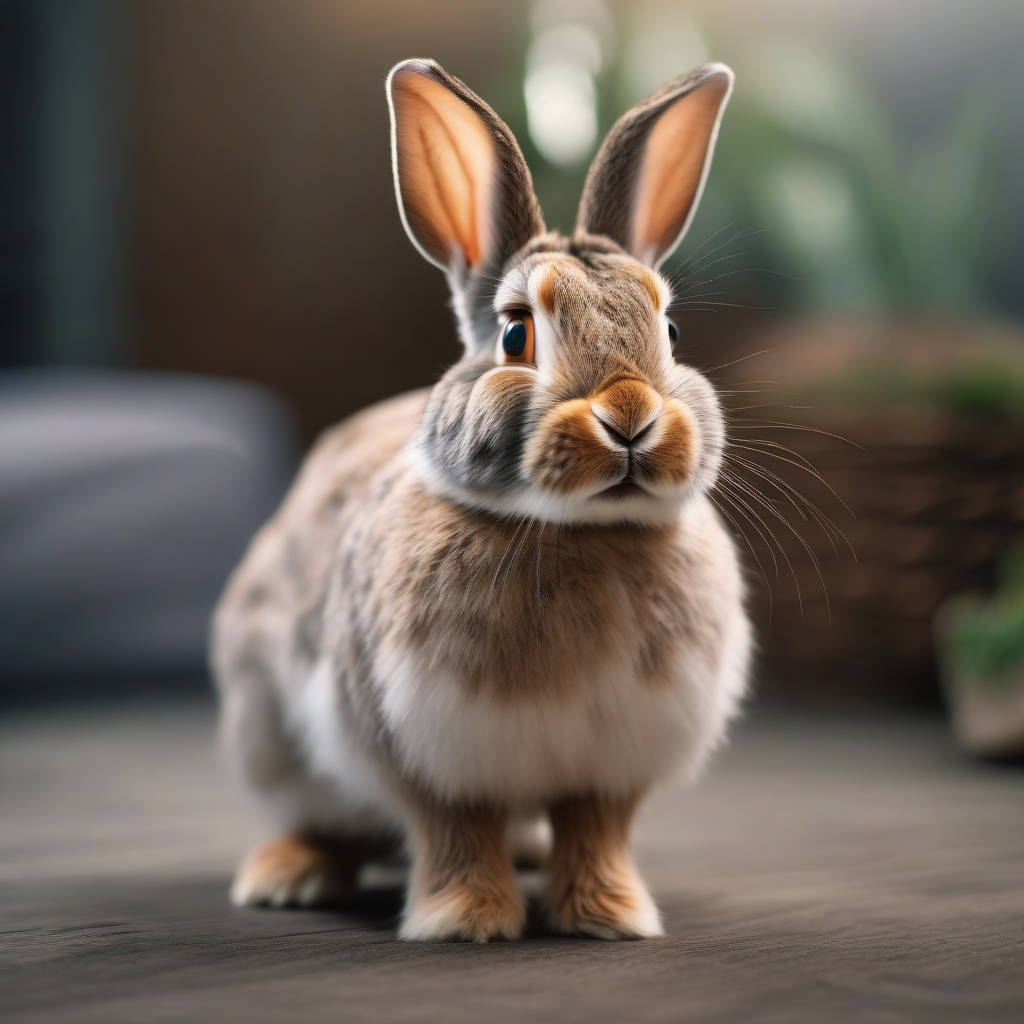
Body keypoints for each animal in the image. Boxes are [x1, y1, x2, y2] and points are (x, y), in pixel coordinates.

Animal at [212, 57, 750, 943]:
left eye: (670, 335)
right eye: (515, 335)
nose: (630, 417)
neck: (579, 530)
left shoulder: (612, 763)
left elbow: (597, 832)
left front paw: (609, 916)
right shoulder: (425, 751)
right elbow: (455, 832)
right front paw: (466, 922)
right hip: (272, 735)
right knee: (320, 820)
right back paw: (287, 878)